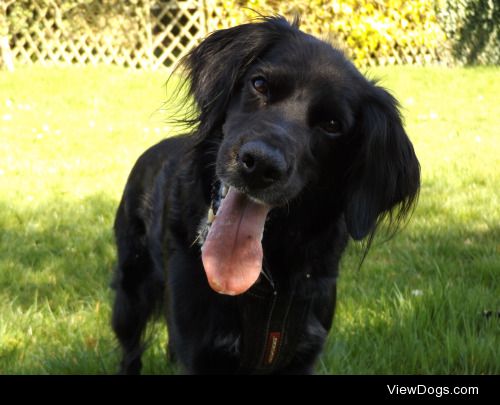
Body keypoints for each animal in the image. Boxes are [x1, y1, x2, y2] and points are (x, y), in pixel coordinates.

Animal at [111, 17, 420, 374]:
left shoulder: (302, 353)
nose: (260, 165)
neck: (267, 285)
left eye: (332, 124)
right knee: (130, 352)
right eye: (259, 84)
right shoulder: (199, 351)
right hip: (130, 295)